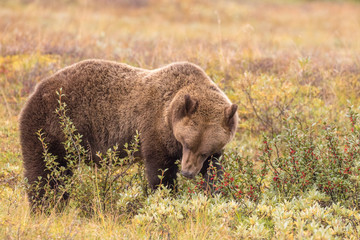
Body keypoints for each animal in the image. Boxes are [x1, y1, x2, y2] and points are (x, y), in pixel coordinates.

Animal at [19, 59, 239, 206]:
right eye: (186, 143)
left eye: (204, 151)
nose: (187, 172)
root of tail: (37, 89)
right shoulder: (152, 130)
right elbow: (160, 172)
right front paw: (166, 195)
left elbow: (214, 172)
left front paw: (214, 192)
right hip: (52, 126)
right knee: (45, 171)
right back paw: (45, 205)